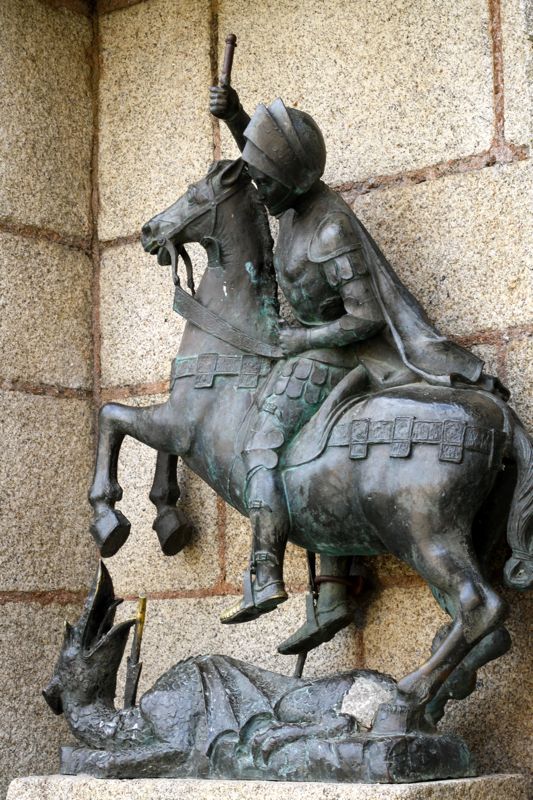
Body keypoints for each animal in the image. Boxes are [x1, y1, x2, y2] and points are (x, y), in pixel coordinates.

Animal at [88, 159, 532, 728]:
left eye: (194, 193)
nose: (147, 230)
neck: (234, 346)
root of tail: (500, 418)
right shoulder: (180, 426)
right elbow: (139, 436)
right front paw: (168, 520)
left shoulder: (181, 425)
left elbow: (113, 418)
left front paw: (110, 521)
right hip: (451, 532)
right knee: (485, 628)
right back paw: (425, 700)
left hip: (423, 531)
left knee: (481, 606)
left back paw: (402, 700)